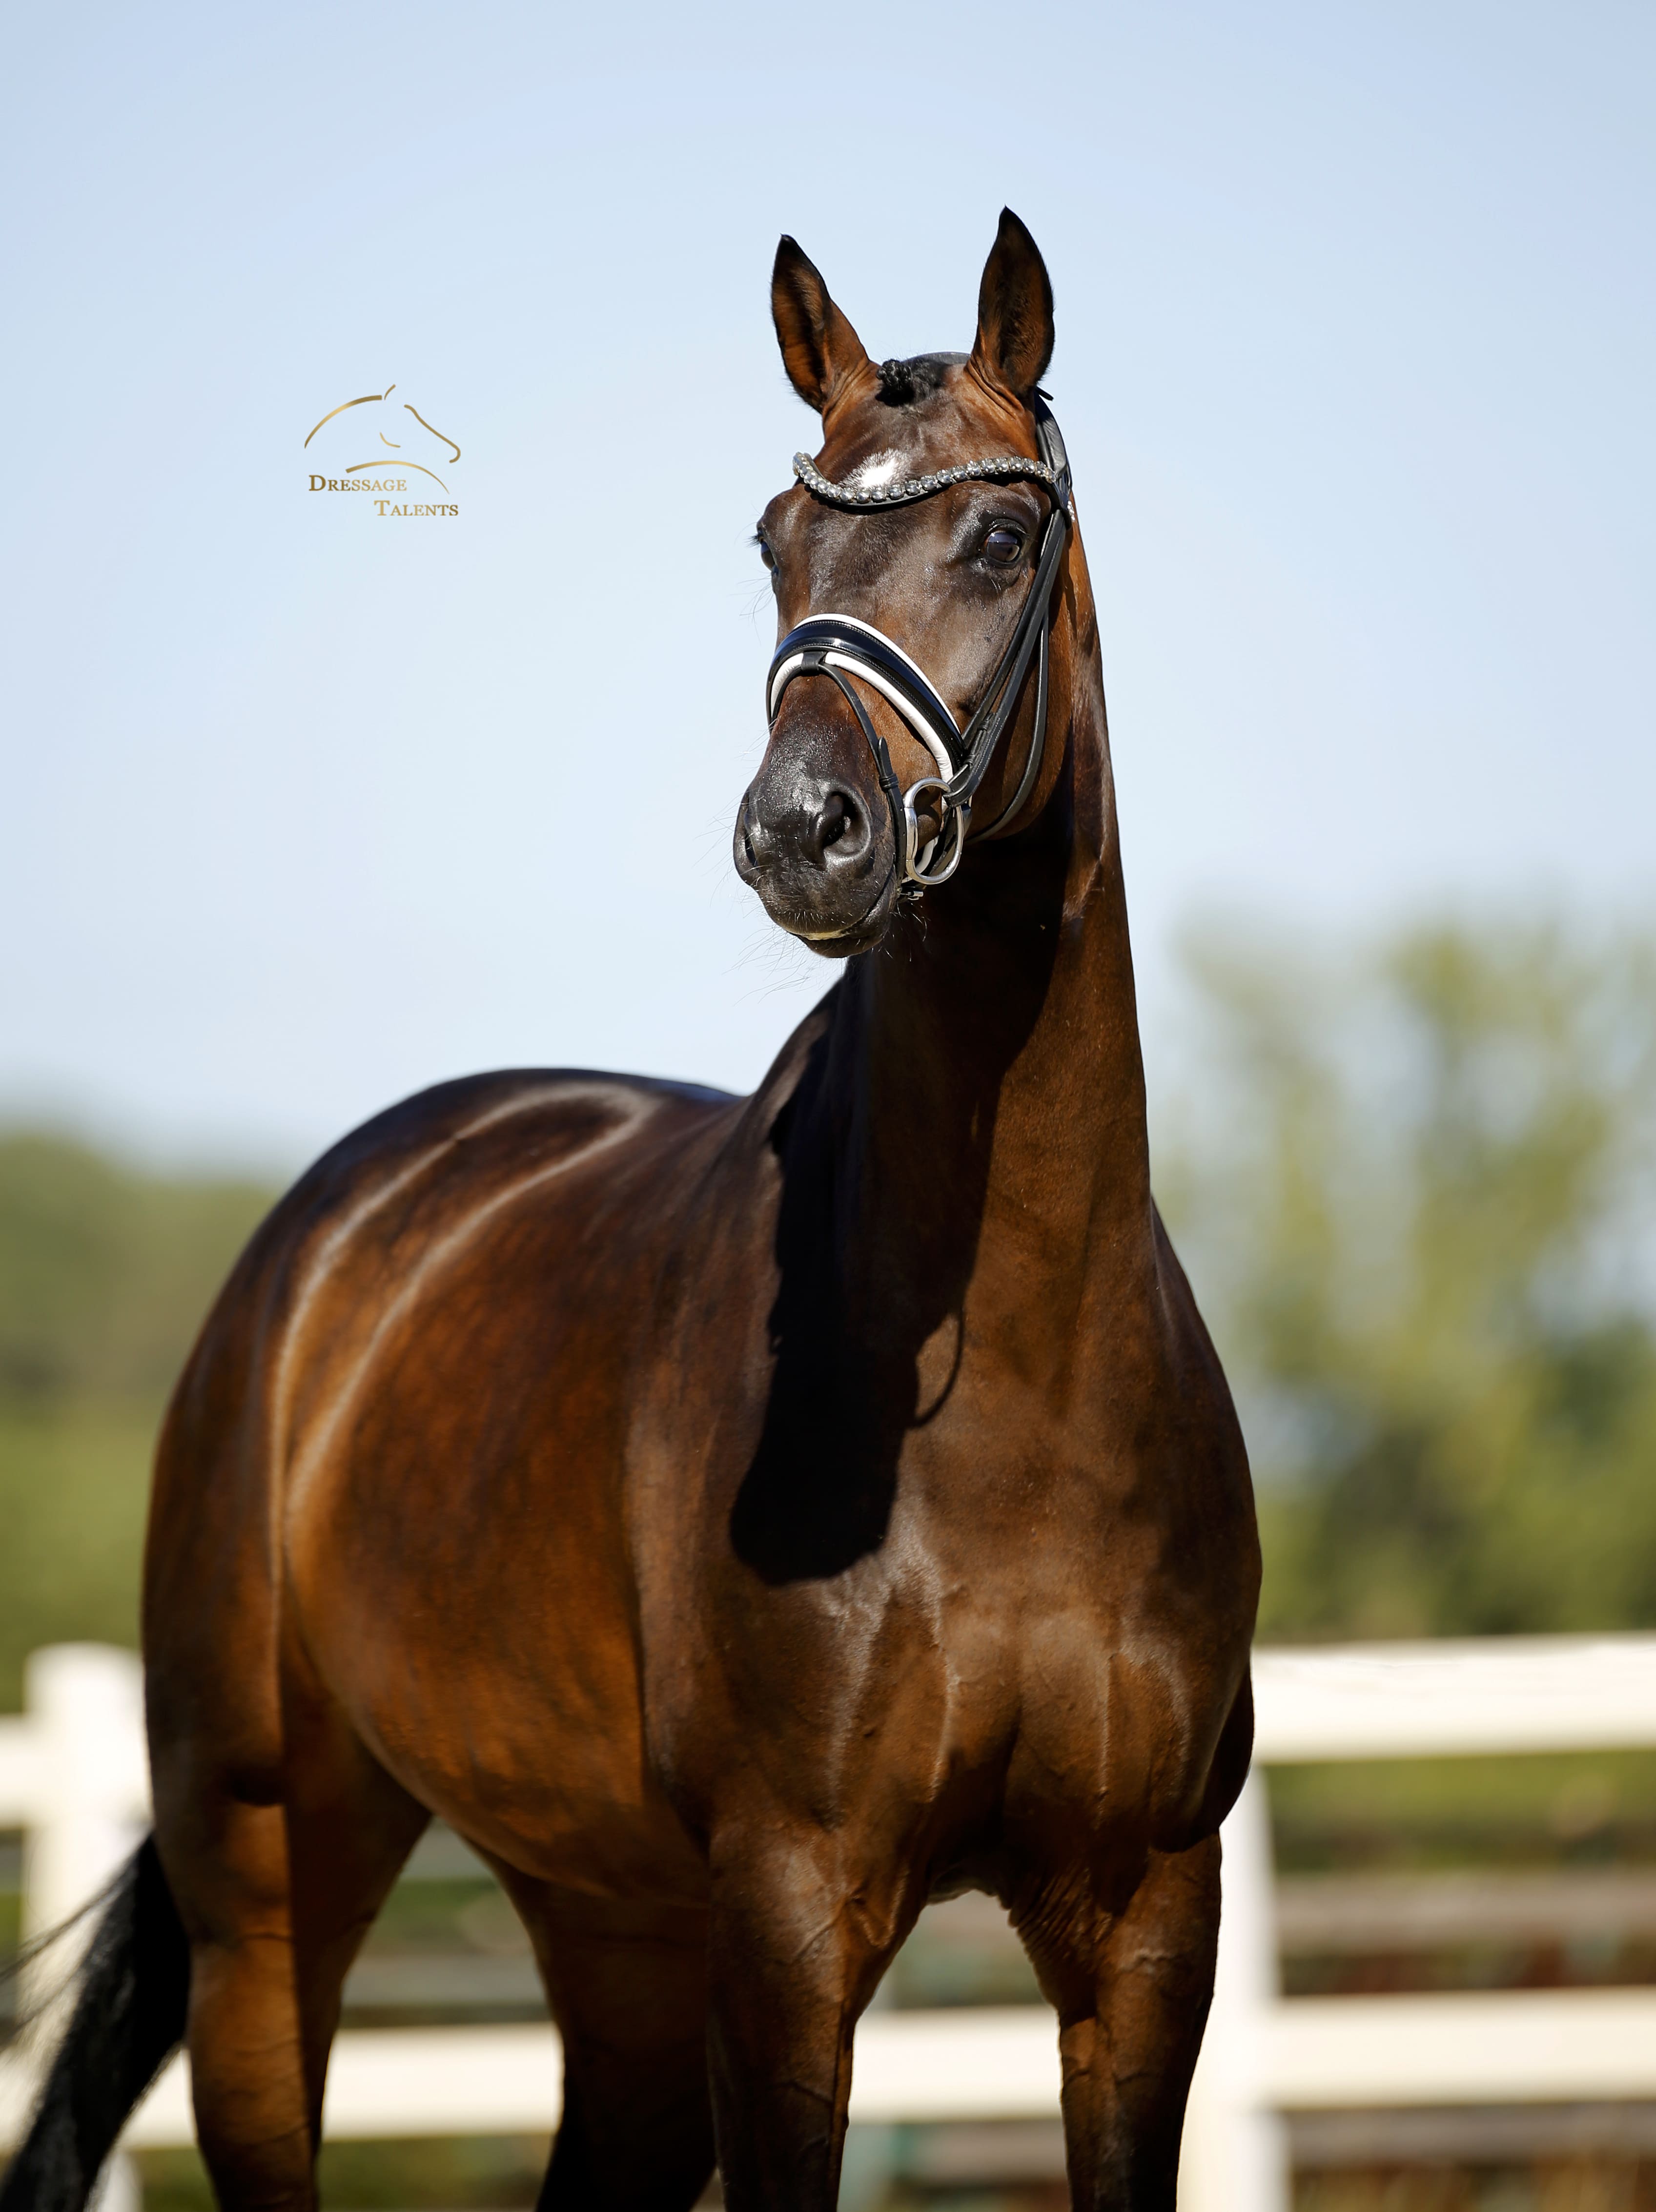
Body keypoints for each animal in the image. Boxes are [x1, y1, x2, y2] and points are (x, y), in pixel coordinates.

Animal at [3, 209, 1258, 2212]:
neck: (1020, 1395)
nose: (801, 830)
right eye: (776, 538)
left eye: (998, 539)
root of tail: (330, 1238)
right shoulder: (789, 1918)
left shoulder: (1145, 1923)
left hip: (613, 1929)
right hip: (266, 1882)